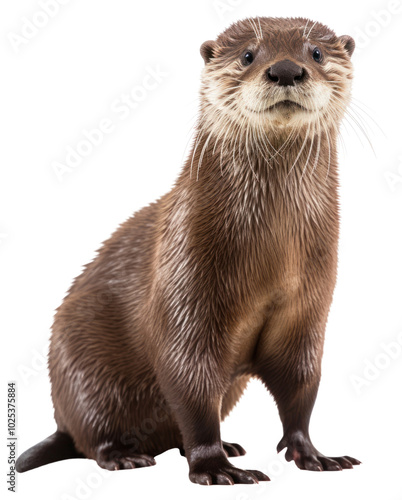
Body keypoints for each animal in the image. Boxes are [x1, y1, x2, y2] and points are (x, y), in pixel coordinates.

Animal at [16, 16, 362, 484]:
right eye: (248, 55)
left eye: (317, 53)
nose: (286, 69)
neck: (272, 257)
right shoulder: (187, 284)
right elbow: (190, 383)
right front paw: (215, 467)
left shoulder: (307, 306)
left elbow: (300, 384)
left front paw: (313, 454)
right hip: (78, 368)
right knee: (92, 436)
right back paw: (124, 455)